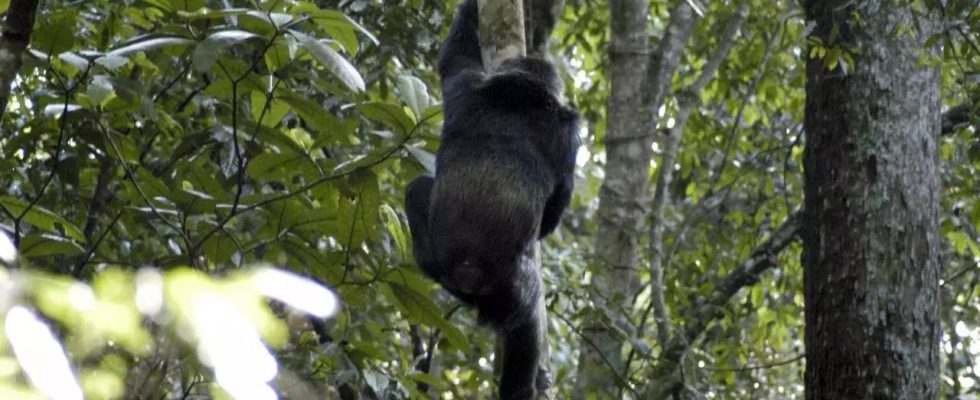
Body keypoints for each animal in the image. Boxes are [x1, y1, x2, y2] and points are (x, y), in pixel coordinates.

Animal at [402, 0, 580, 398]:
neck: (520, 94)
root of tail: (468, 270)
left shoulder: (464, 84)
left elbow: (454, 57)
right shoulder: (569, 134)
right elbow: (555, 209)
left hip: (441, 263)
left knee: (416, 188)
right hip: (509, 285)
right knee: (529, 321)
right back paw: (522, 385)